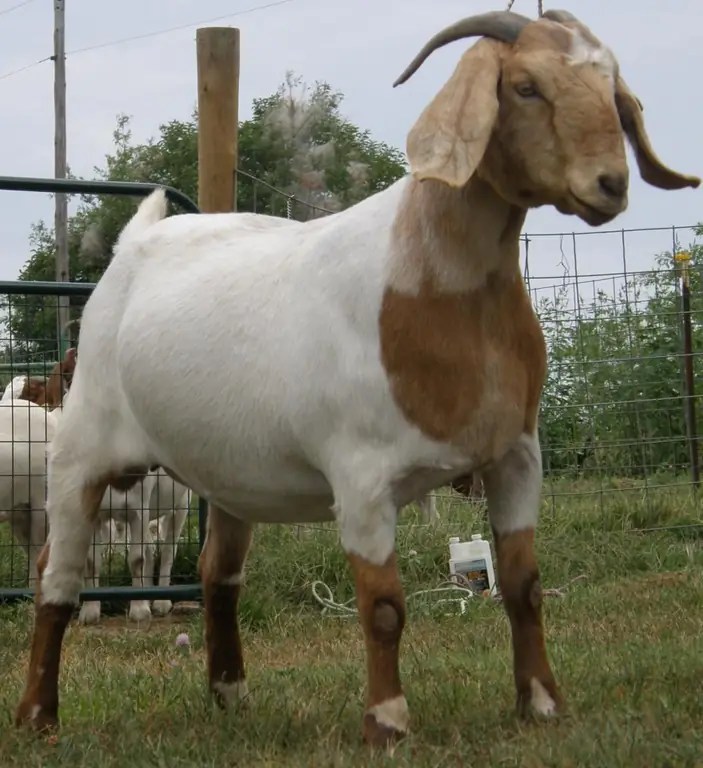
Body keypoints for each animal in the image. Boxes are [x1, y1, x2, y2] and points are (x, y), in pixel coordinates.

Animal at [15, 10, 699, 744]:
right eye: (524, 87)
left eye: (611, 87)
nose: (610, 184)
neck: (434, 287)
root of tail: (136, 242)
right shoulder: (361, 477)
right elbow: (384, 606)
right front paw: (388, 720)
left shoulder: (517, 455)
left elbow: (525, 586)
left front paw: (542, 702)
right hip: (83, 448)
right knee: (55, 575)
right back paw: (37, 716)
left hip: (228, 471)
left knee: (217, 573)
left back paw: (230, 695)